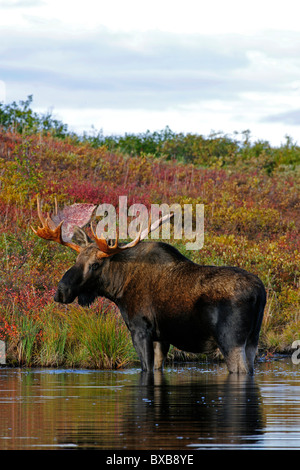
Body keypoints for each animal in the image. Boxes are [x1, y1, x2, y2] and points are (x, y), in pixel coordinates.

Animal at [32, 198, 264, 374]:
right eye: (76, 260)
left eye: (95, 265)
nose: (61, 292)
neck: (119, 289)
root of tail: (260, 293)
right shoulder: (162, 338)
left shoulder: (140, 330)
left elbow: (146, 368)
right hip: (253, 340)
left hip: (231, 341)